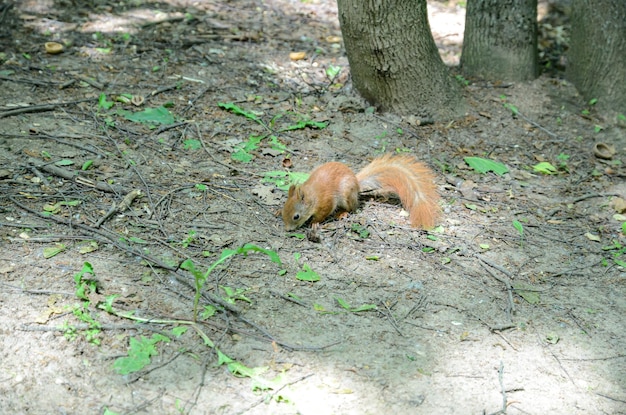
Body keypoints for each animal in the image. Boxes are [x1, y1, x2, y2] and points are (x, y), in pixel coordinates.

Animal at [282, 154, 438, 231]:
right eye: (284, 210)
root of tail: (357, 182)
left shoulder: (326, 202)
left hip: (346, 194)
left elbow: (323, 213)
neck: (312, 195)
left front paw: (314, 222)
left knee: (353, 208)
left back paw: (343, 213)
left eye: (296, 216)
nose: (288, 229)